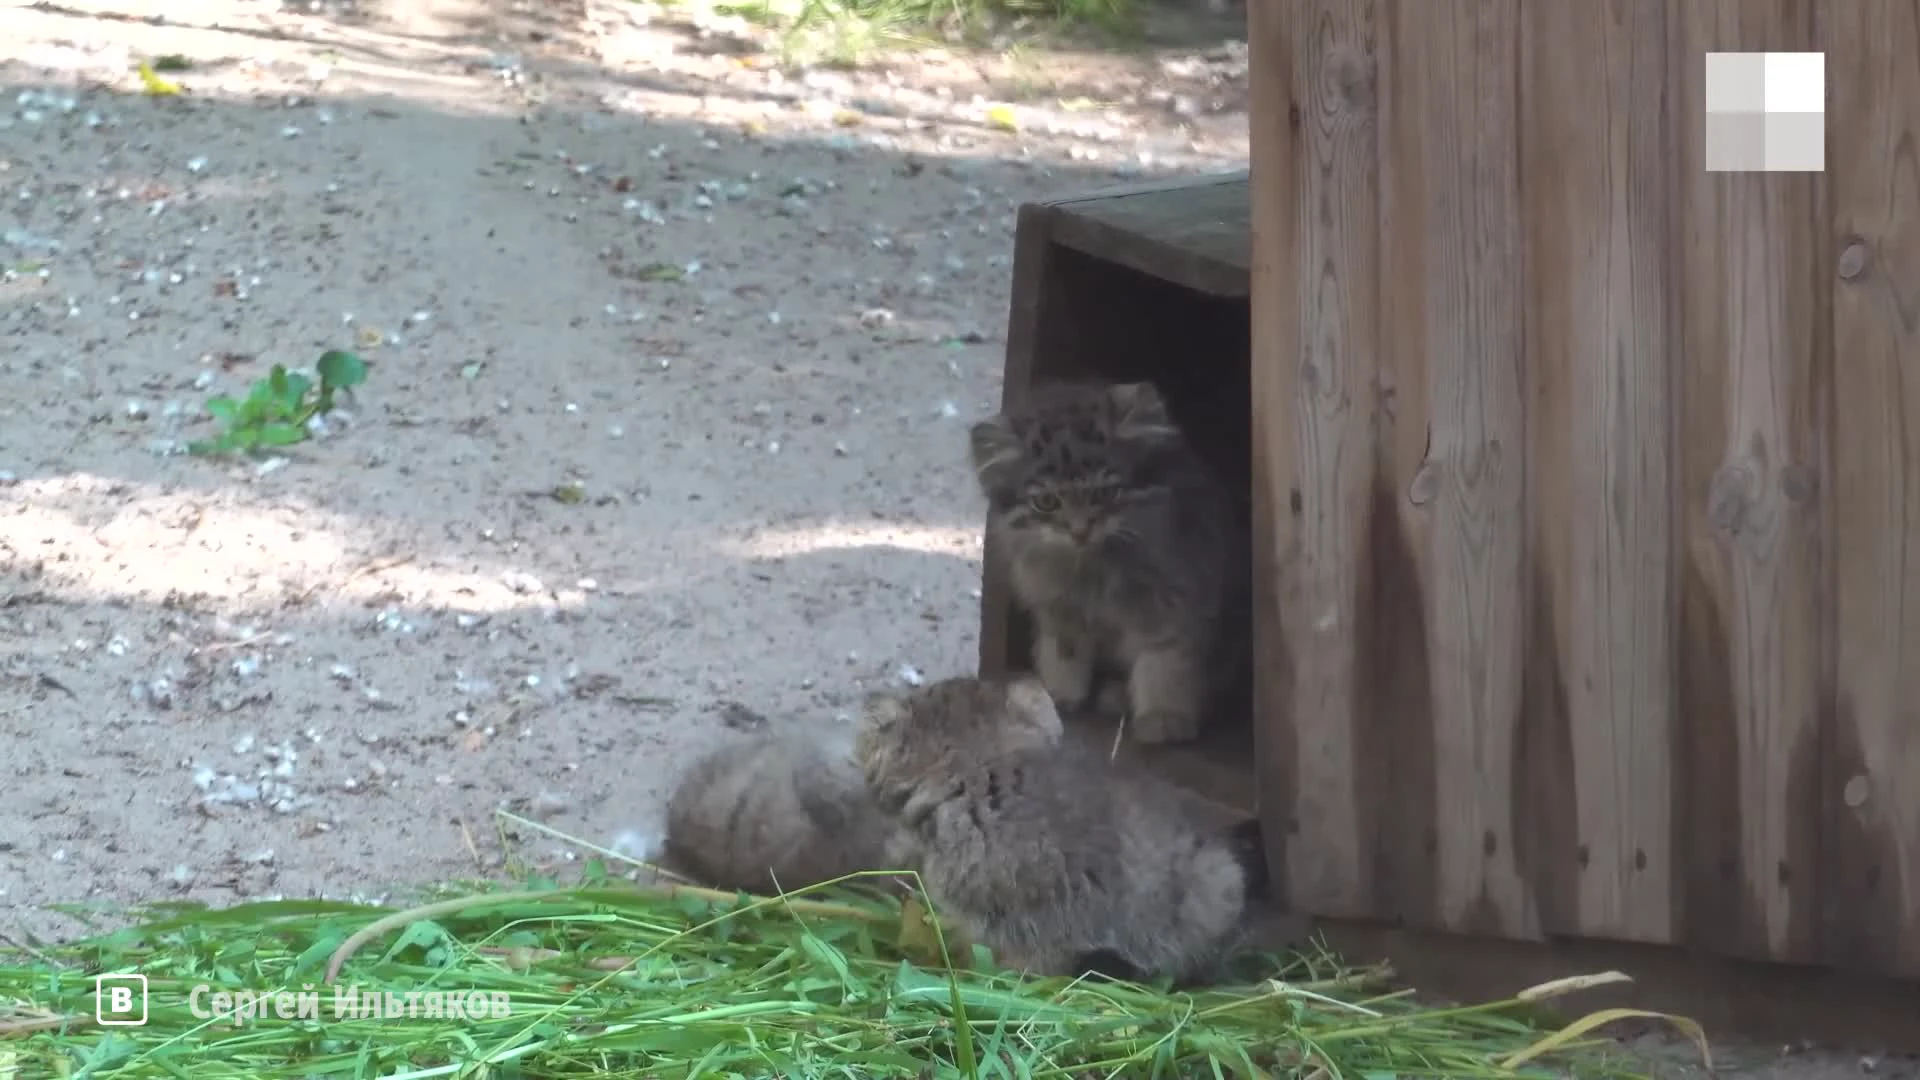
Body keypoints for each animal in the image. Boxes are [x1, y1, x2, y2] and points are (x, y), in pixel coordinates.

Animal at [967, 378, 1251, 737]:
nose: (1079, 530)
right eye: (1046, 502)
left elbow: (1165, 660)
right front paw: (1059, 693)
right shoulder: (1057, 607)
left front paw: (1163, 715)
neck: (1092, 568)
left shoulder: (1178, 600)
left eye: (1105, 494)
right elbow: (1064, 652)